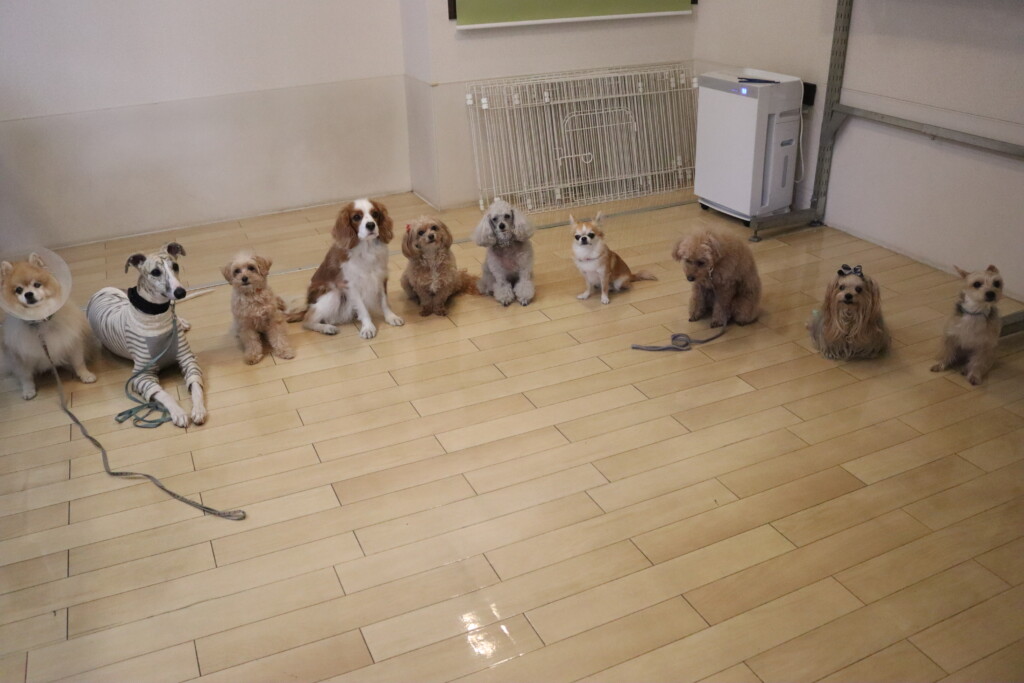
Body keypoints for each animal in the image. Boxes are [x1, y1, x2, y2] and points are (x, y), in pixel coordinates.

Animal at [1, 254, 96, 399]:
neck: (40, 322)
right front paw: (28, 390)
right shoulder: (20, 355)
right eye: (18, 290)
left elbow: (78, 362)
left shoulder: (72, 342)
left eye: (37, 285)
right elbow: (25, 376)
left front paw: (85, 375)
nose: (28, 294)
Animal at [87, 242, 205, 427]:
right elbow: (164, 394)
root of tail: (100, 290)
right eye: (155, 272)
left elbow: (196, 386)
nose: (181, 292)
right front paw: (178, 412)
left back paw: (182, 322)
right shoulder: (141, 376)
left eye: (175, 266)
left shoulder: (187, 359)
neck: (157, 315)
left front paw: (198, 409)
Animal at [288, 198, 404, 338]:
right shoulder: (351, 285)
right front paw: (368, 327)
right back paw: (327, 328)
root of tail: (308, 305)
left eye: (375, 214)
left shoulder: (380, 278)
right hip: (334, 293)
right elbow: (363, 308)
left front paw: (391, 317)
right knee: (307, 320)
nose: (371, 225)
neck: (366, 248)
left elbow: (384, 301)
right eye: (356, 217)